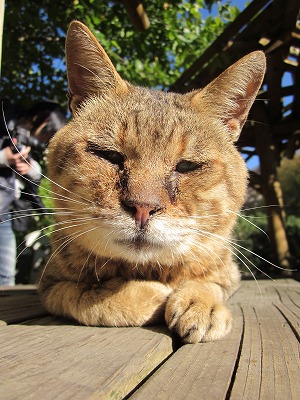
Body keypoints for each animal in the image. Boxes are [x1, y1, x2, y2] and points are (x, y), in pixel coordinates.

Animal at [38, 20, 266, 342]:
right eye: (109, 155)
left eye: (187, 166)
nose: (142, 208)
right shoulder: (49, 286)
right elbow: (89, 298)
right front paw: (151, 295)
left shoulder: (229, 273)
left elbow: (210, 282)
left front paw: (201, 302)